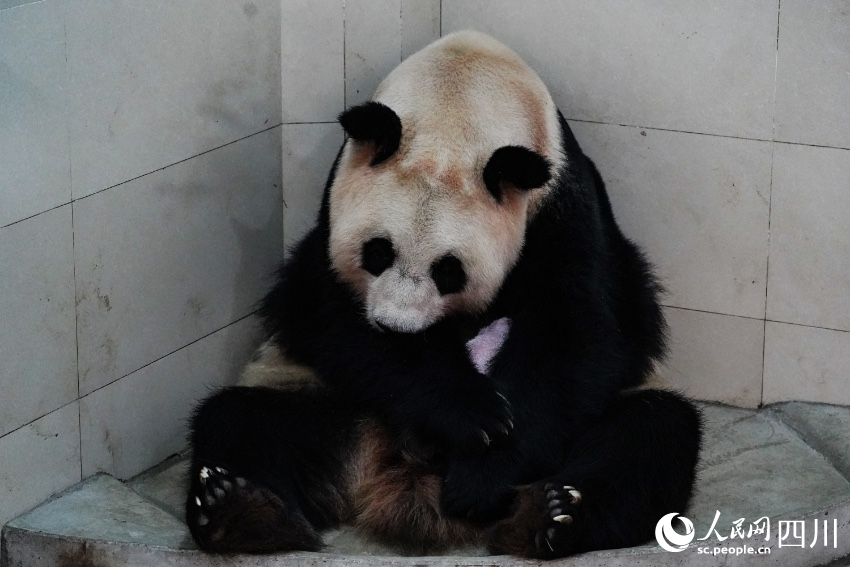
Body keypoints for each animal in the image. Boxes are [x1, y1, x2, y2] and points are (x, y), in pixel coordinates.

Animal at [185, 31, 702, 559]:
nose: (395, 326)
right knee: (242, 419)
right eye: (377, 252)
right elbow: (324, 313)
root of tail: (401, 470)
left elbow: (575, 334)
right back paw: (242, 510)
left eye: (449, 271)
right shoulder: (331, 210)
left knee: (649, 434)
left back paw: (554, 516)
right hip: (321, 402)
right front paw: (473, 416)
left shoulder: (561, 208)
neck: (458, 103)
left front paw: (483, 473)